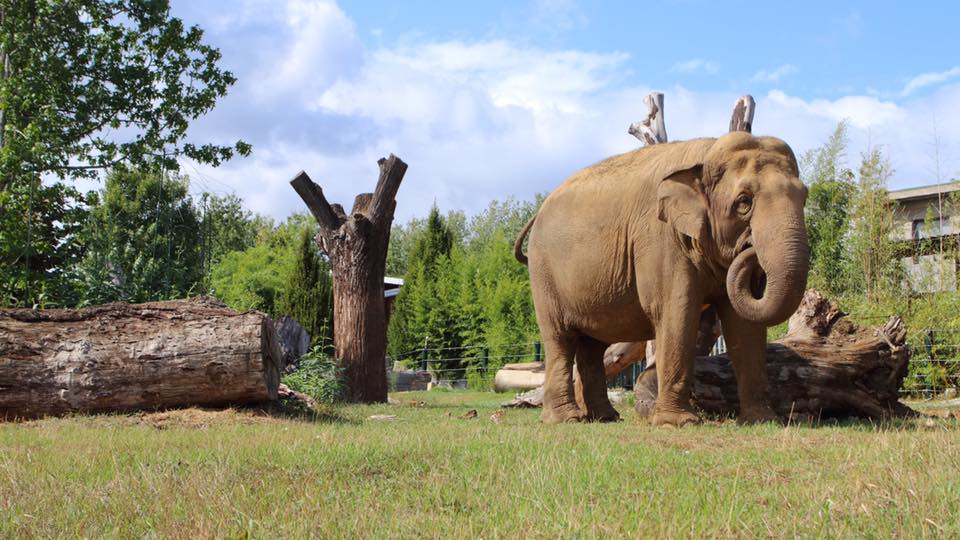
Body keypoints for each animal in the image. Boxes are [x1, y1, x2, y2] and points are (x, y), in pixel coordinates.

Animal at [516, 132, 808, 426]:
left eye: (804, 197)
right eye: (744, 202)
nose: (750, 250)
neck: (706, 153)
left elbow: (744, 325)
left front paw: (762, 420)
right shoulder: (661, 238)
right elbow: (676, 312)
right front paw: (679, 423)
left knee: (592, 346)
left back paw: (606, 417)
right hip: (543, 274)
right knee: (560, 339)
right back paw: (566, 419)